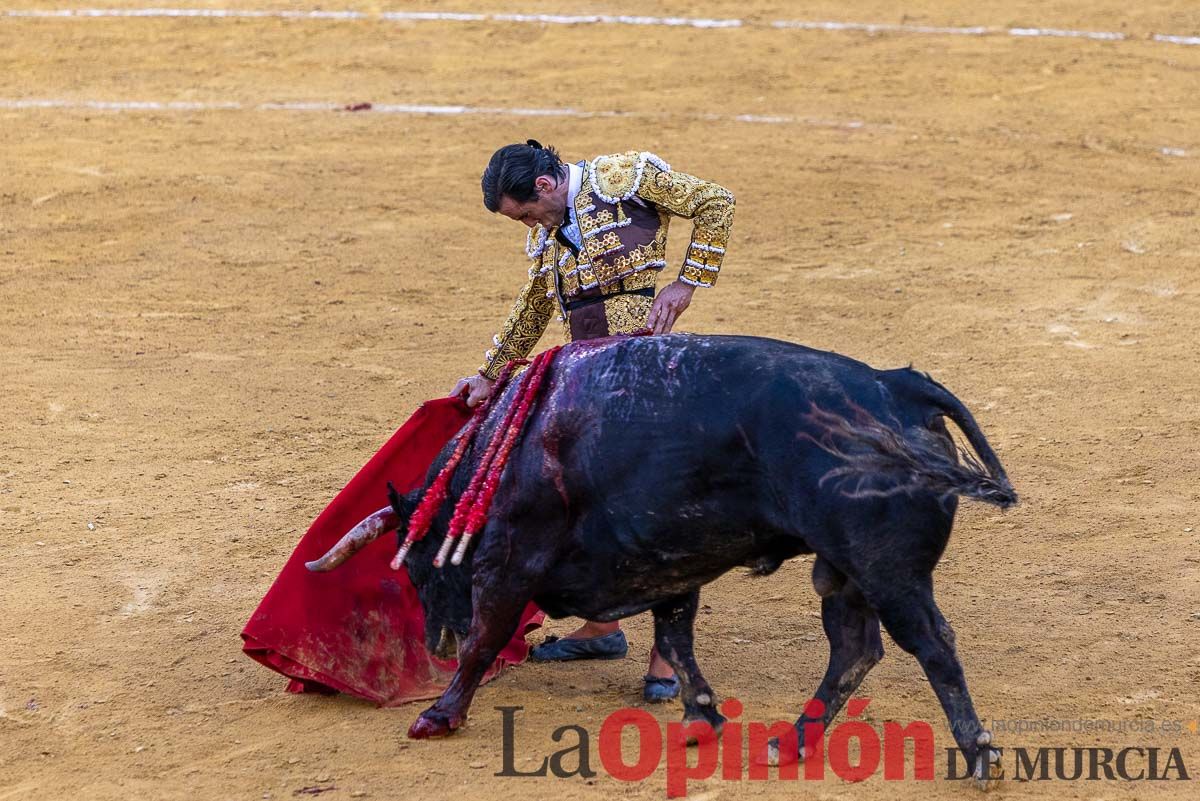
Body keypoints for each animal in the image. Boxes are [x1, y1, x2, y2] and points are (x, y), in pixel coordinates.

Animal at [307, 333, 1012, 767]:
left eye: (418, 568)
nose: (435, 644)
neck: (510, 452)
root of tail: (897, 386)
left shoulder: (509, 565)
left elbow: (487, 636)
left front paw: (439, 714)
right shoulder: (671, 566)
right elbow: (677, 639)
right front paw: (701, 718)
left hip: (886, 569)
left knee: (930, 643)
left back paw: (978, 752)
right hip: (841, 571)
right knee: (855, 648)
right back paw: (790, 743)